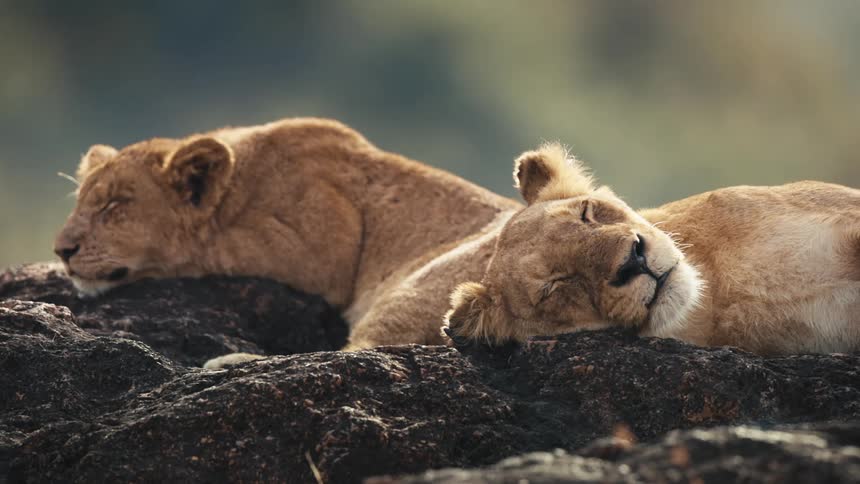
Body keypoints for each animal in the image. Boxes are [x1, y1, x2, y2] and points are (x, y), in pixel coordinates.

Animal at [54, 118, 522, 367]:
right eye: (79, 202)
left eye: (114, 205)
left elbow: (206, 251)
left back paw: (224, 364)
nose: (61, 250)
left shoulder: (320, 251)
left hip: (422, 287)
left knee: (365, 352)